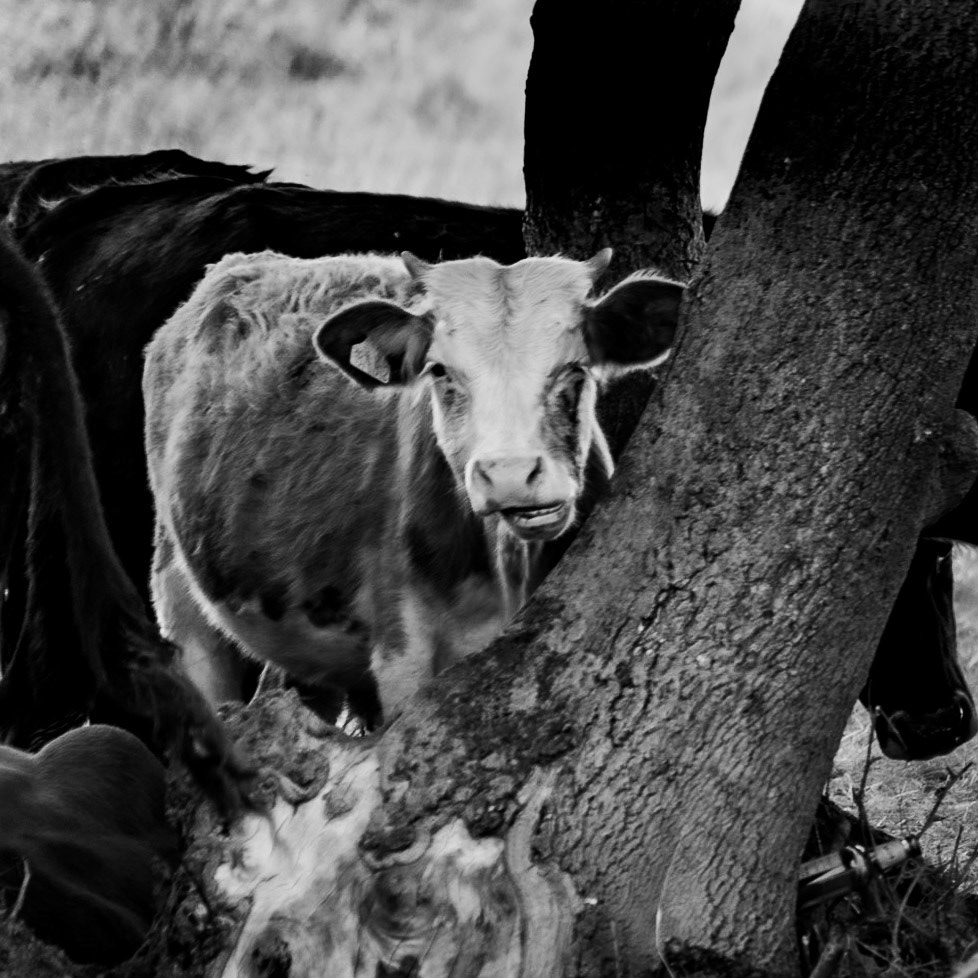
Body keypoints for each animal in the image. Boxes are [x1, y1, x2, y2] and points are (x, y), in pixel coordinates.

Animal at [143, 248, 683, 722]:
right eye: (440, 371)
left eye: (576, 367)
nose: (509, 474)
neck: (508, 568)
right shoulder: (403, 655)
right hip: (180, 598)